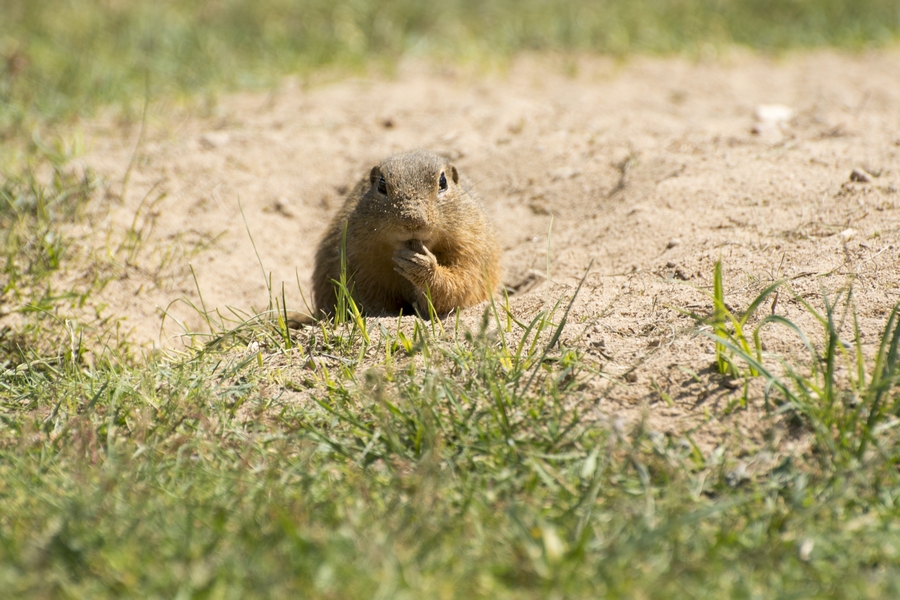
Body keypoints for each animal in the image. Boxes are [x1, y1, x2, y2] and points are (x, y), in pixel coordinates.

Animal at [302, 151, 500, 318]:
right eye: (381, 184)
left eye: (443, 181)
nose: (413, 220)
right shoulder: (359, 260)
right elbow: (369, 298)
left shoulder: (471, 248)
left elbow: (459, 285)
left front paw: (420, 265)